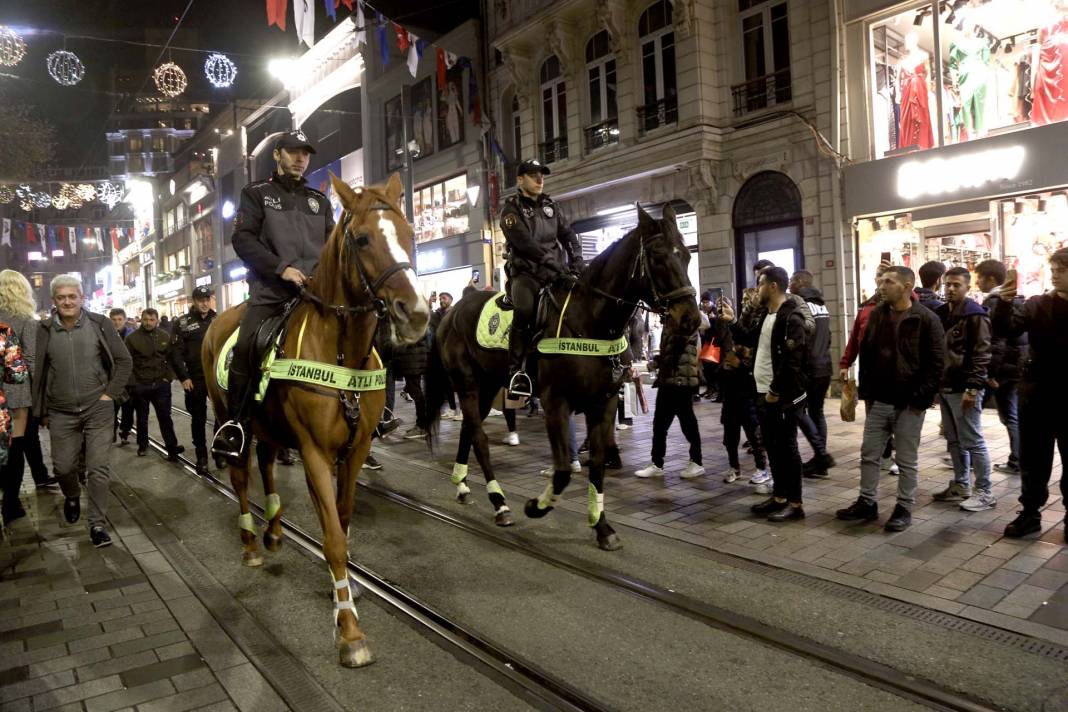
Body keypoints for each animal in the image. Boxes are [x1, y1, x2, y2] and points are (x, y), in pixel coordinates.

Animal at [203, 172, 429, 670]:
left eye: (409, 233)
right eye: (362, 239)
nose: (418, 314)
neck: (340, 349)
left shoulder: (356, 450)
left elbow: (341, 522)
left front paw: (342, 593)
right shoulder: (314, 453)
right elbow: (333, 539)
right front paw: (349, 632)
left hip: (267, 426)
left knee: (267, 464)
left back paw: (273, 530)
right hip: (231, 419)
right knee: (241, 476)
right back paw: (251, 543)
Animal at [425, 206, 700, 550]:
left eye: (686, 256)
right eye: (659, 257)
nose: (691, 319)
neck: (590, 320)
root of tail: (449, 314)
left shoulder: (605, 403)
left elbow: (597, 465)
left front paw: (602, 527)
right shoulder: (556, 403)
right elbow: (562, 471)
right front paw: (536, 506)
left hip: (487, 387)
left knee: (468, 434)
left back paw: (463, 486)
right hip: (468, 385)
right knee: (479, 439)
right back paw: (500, 503)